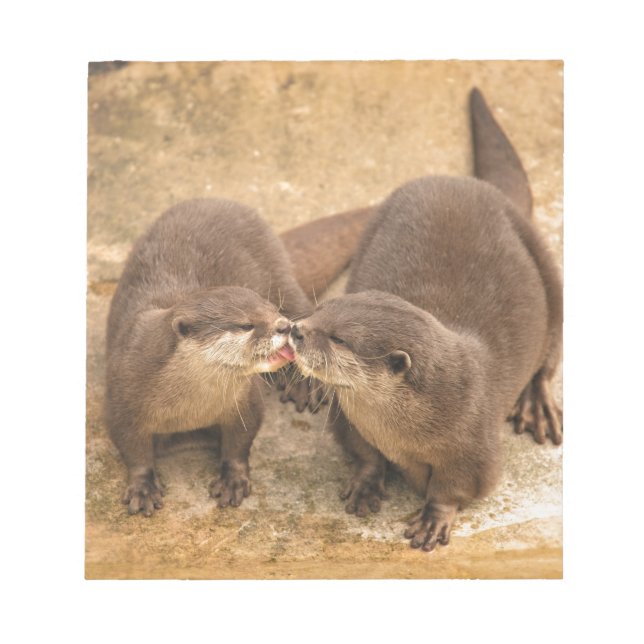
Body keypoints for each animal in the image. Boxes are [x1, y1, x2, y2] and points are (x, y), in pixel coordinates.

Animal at [289, 88, 563, 552]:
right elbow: (365, 456)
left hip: (546, 265)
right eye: (321, 310)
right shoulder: (351, 422)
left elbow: (453, 488)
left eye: (338, 338)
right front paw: (367, 483)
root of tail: (471, 183)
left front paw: (435, 519)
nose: (295, 330)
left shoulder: (476, 450)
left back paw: (538, 404)